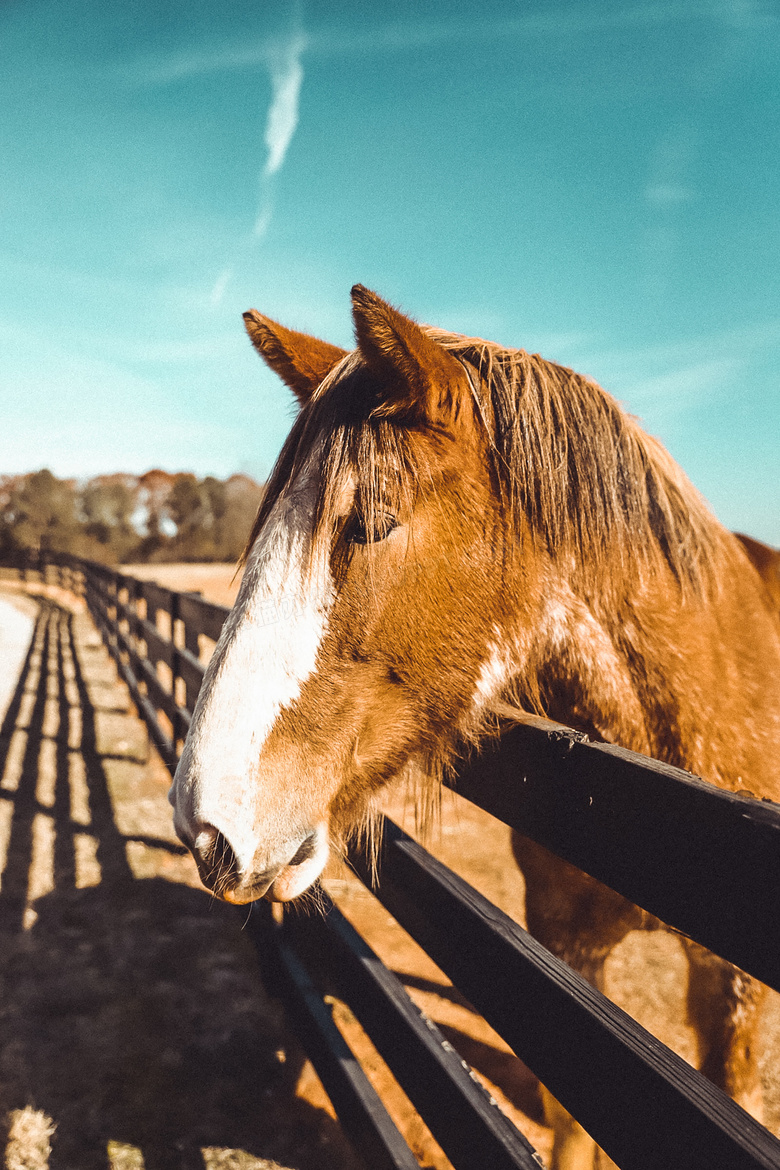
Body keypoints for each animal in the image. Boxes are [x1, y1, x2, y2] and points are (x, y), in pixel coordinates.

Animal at [170, 285, 780, 1170]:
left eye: (374, 521)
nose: (205, 825)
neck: (660, 804)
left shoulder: (734, 992)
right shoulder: (566, 949)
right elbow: (571, 1128)